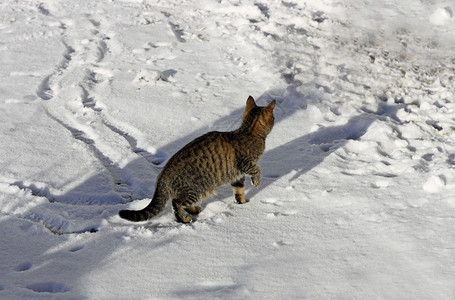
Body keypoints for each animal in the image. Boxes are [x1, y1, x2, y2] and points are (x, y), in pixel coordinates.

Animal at [119, 96, 276, 223]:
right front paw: (256, 182)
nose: (275, 119)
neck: (248, 131)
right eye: (273, 118)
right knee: (176, 203)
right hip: (198, 189)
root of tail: (163, 173)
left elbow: (239, 191)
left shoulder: (238, 176)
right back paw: (185, 219)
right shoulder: (245, 164)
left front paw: (242, 204)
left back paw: (193, 210)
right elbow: (257, 169)